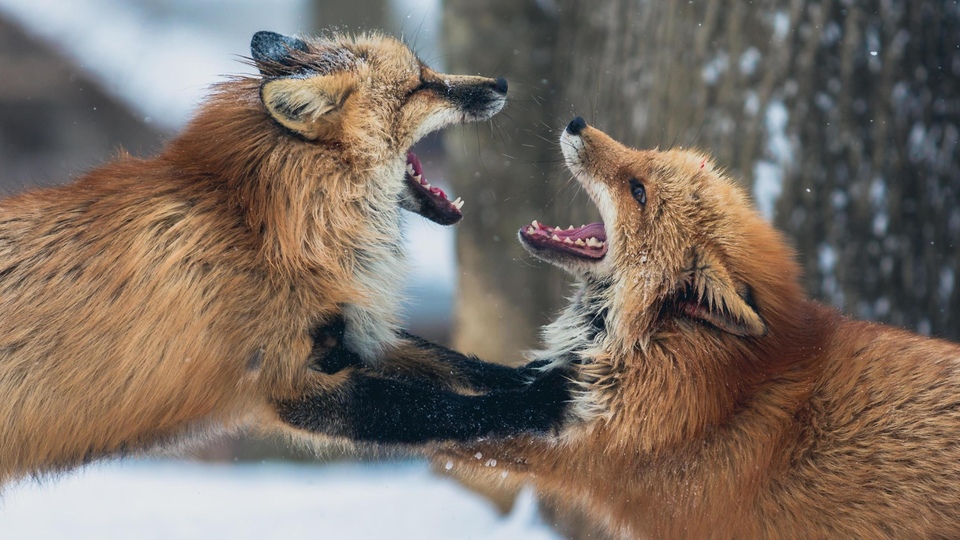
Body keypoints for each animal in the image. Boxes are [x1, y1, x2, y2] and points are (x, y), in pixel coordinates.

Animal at [0, 29, 568, 486]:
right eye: (419, 86)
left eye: (427, 72)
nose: (501, 83)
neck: (265, 228)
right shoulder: (293, 382)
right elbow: (443, 410)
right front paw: (544, 400)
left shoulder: (351, 334)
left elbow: (457, 364)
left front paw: (541, 372)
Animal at [444, 119, 960, 540]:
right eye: (647, 155)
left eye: (638, 191)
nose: (575, 122)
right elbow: (466, 370)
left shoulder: (577, 451)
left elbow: (453, 419)